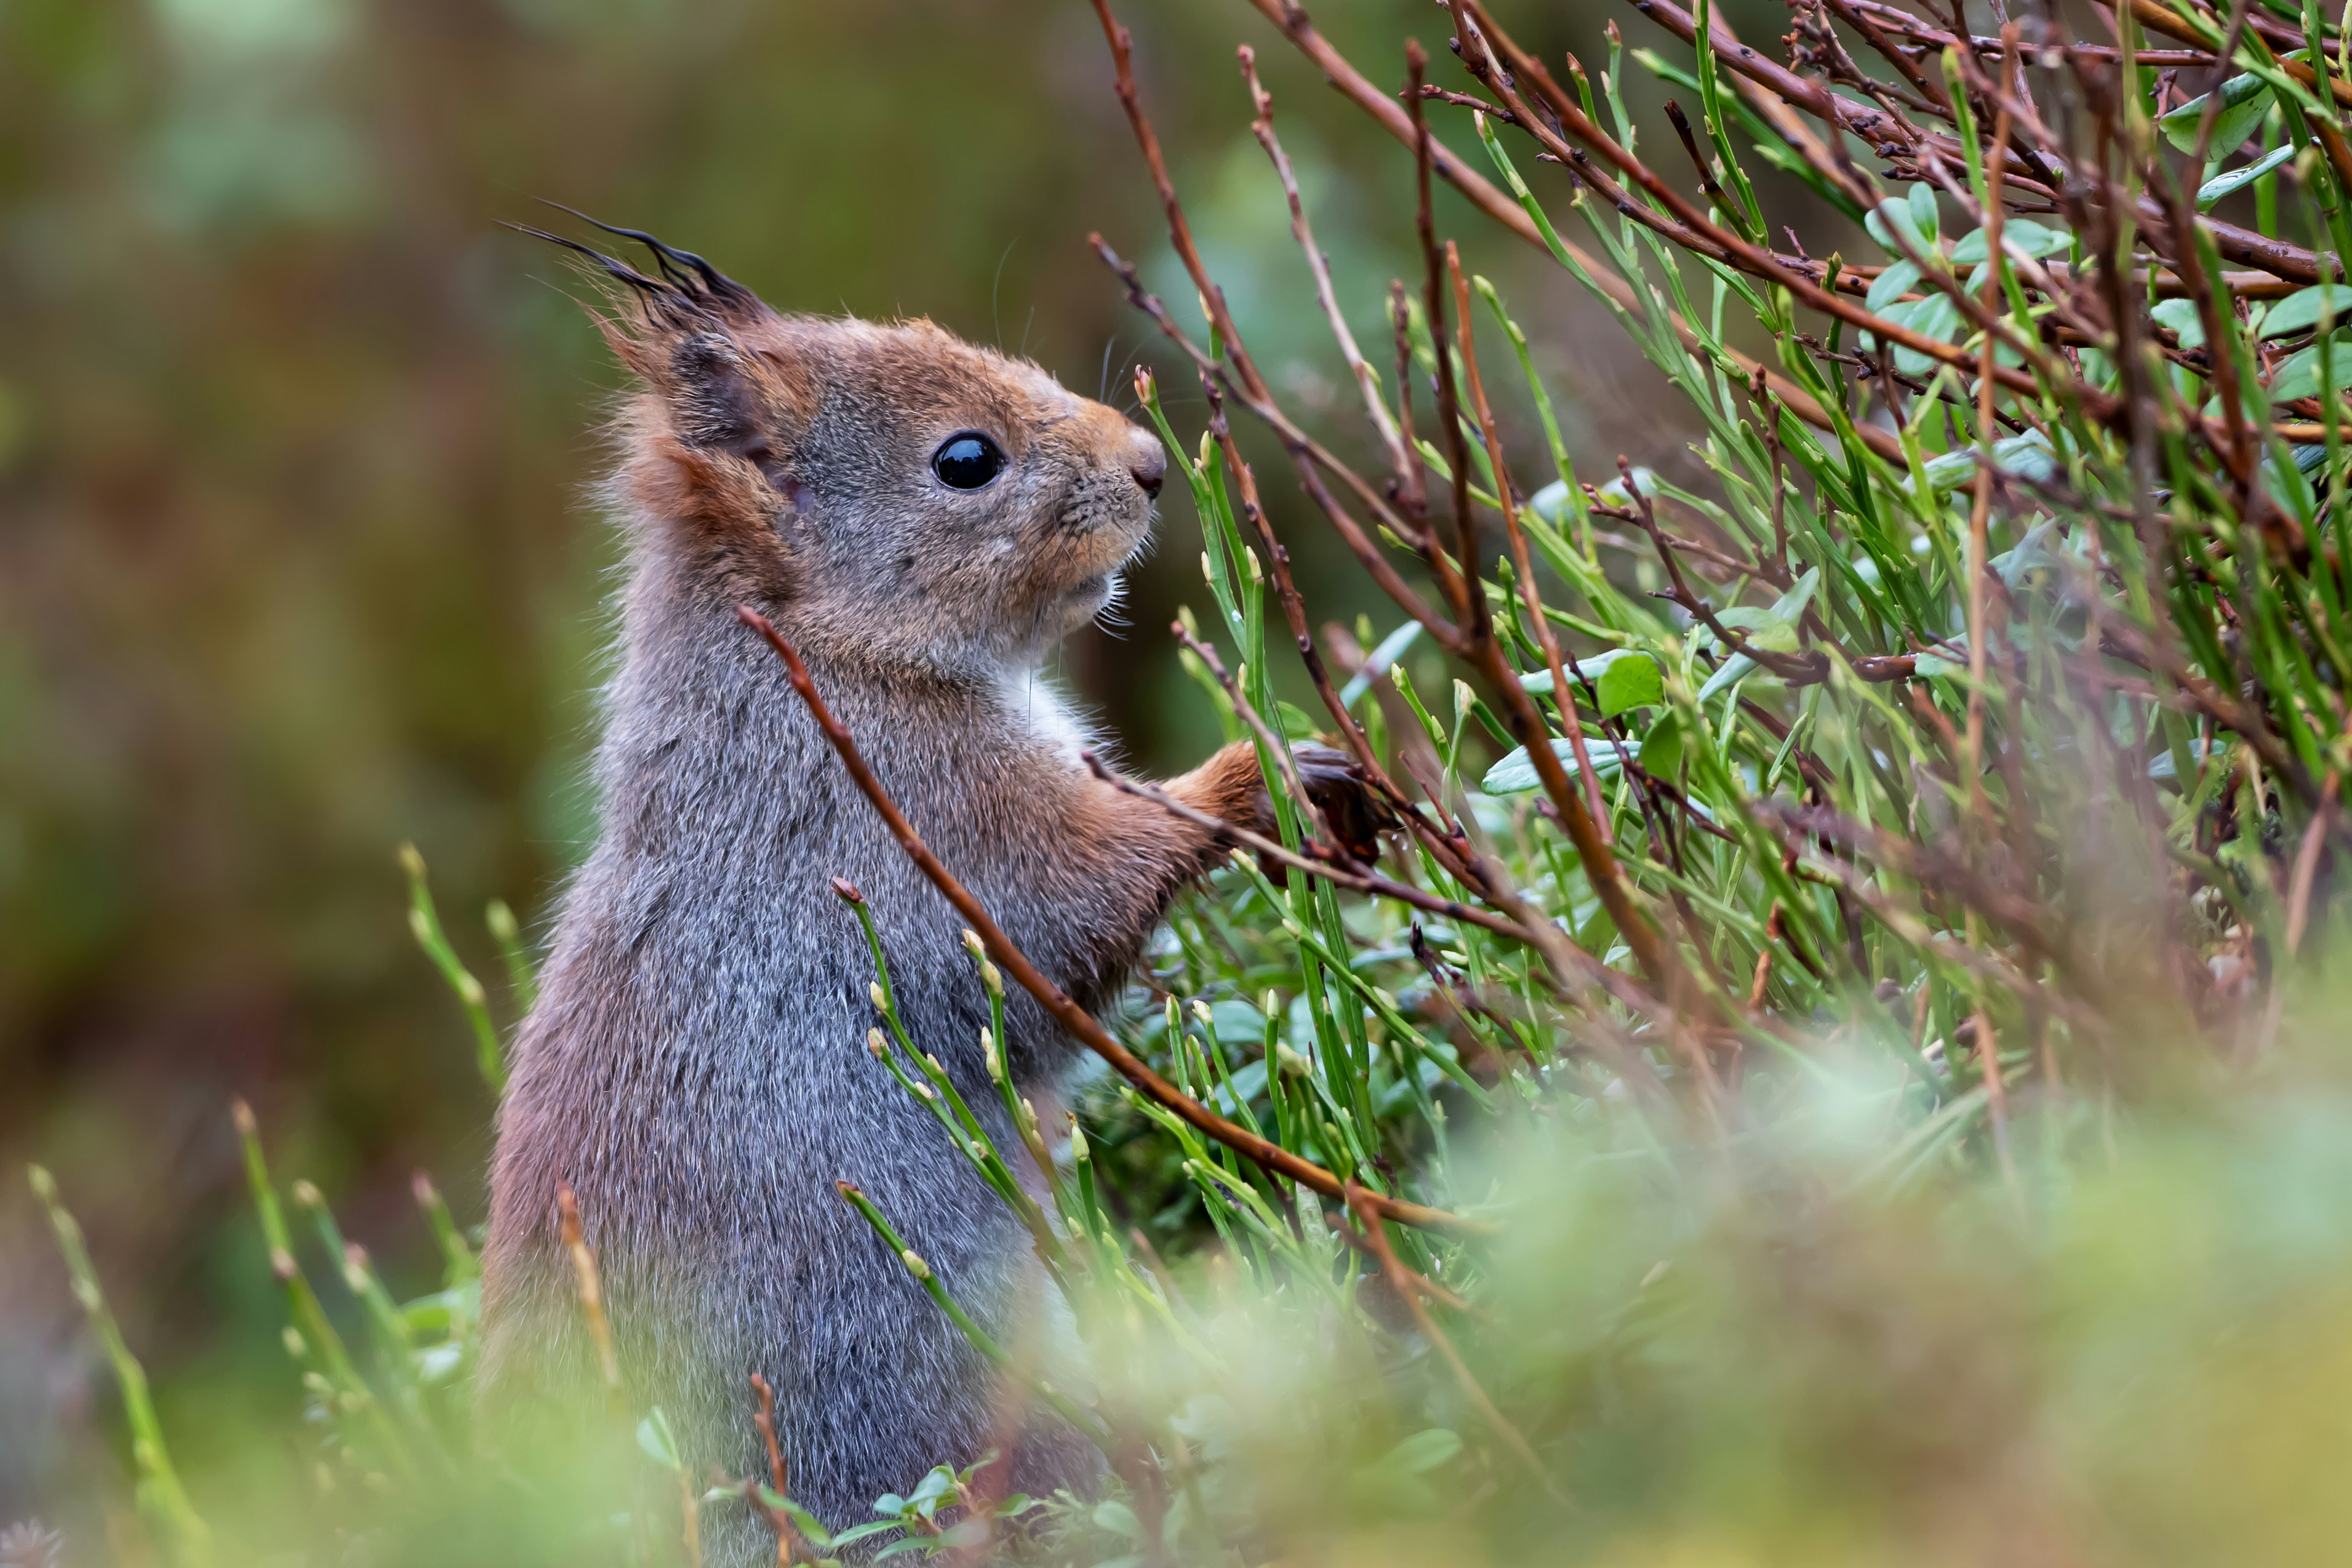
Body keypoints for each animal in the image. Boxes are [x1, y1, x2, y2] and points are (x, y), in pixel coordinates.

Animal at [480, 221, 1373, 1561]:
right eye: (965, 461)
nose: (1150, 465)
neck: (825, 665)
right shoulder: (938, 831)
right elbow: (1070, 914)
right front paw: (1253, 777)